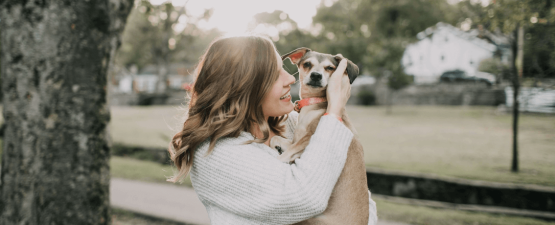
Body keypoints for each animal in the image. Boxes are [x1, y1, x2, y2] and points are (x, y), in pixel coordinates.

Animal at [270, 48, 370, 225]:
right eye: (307, 64)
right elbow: (278, 140)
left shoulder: (309, 138)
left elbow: (288, 153)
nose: (316, 75)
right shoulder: (297, 139)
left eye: (330, 68)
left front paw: (281, 158)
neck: (314, 103)